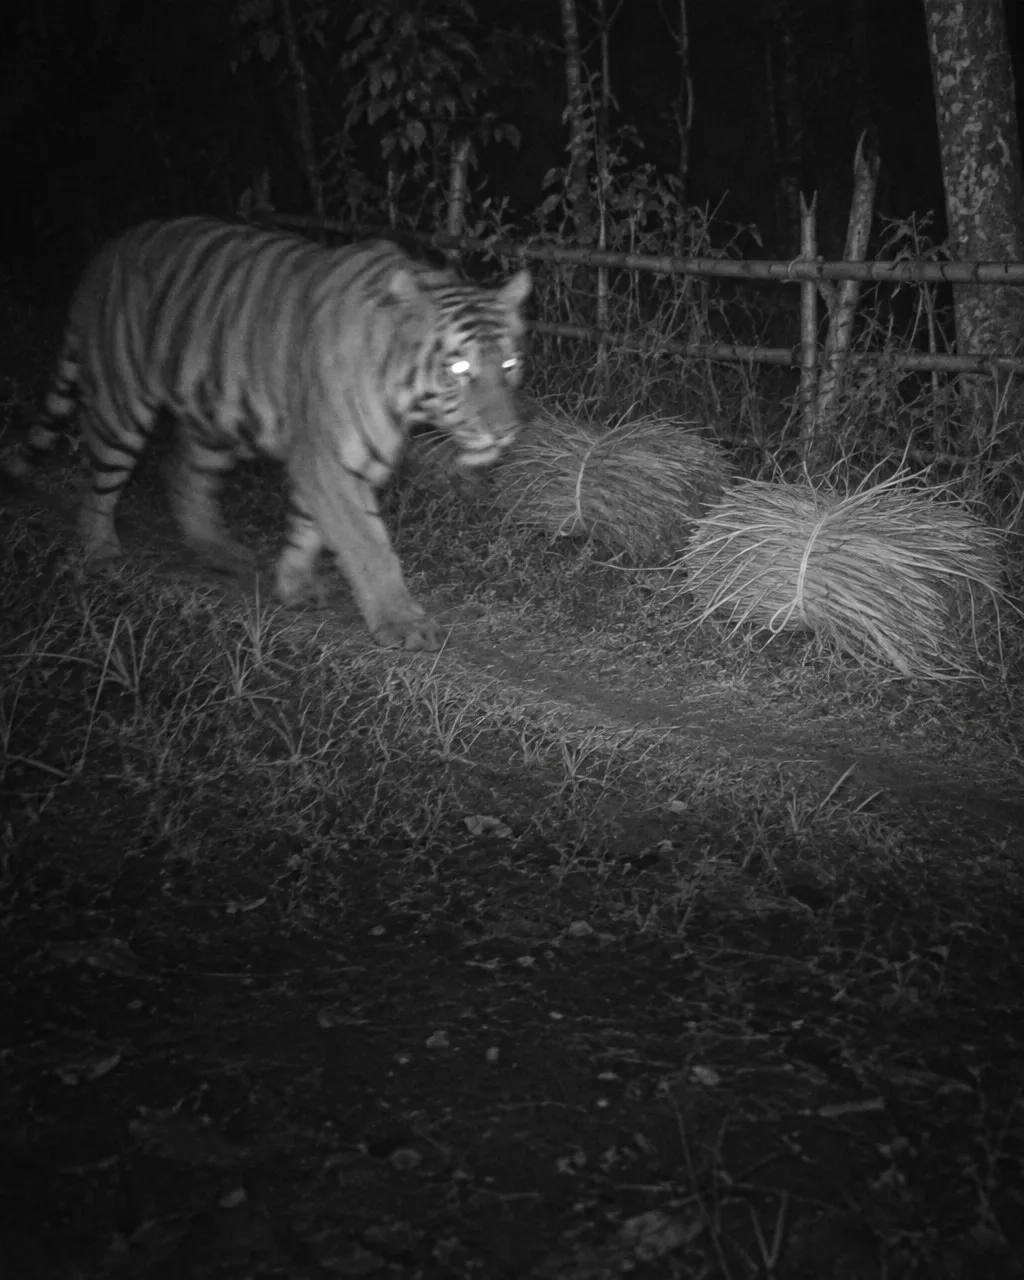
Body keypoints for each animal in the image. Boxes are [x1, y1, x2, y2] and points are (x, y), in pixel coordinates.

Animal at [15, 217, 531, 650]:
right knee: (101, 481)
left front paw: (294, 585)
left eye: (509, 364)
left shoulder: (342, 460)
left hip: (217, 420)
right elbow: (368, 544)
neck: (399, 392)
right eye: (459, 368)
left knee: (182, 473)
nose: (505, 432)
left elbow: (308, 528)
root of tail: (105, 252)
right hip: (121, 404)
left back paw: (220, 550)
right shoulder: (328, 458)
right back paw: (100, 551)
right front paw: (403, 623)